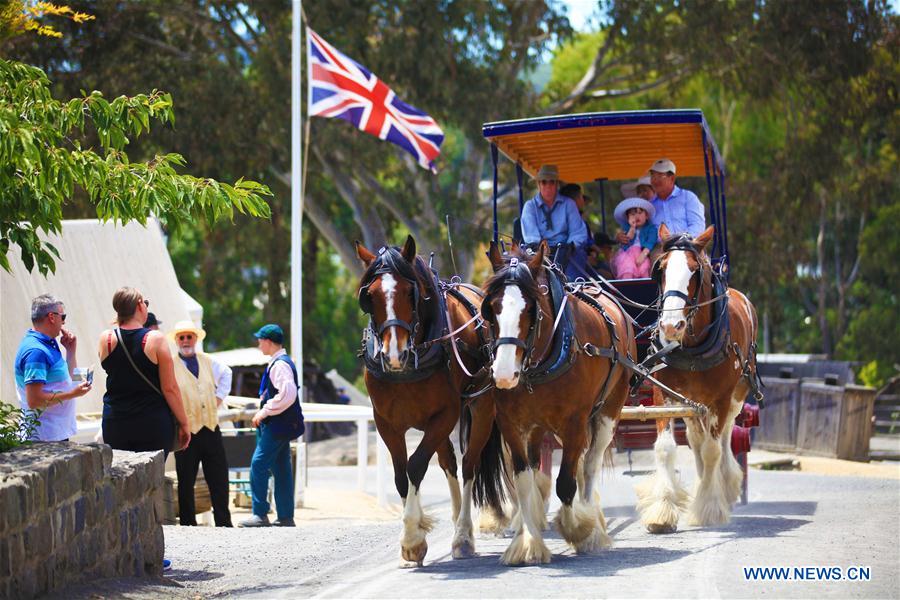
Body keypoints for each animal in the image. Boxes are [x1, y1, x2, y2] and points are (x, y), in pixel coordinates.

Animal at [354, 236, 502, 568]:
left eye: (410, 292)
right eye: (369, 295)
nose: (393, 355)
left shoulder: (446, 414)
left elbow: (416, 466)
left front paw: (412, 538)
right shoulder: (386, 423)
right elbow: (400, 475)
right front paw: (414, 539)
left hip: (481, 408)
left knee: (469, 465)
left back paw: (463, 536)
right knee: (449, 462)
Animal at [482, 241, 636, 564]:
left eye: (531, 309)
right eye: (491, 309)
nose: (504, 373)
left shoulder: (575, 423)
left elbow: (566, 482)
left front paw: (581, 531)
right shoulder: (511, 425)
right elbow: (524, 481)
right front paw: (528, 541)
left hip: (608, 412)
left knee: (589, 465)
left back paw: (592, 520)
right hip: (539, 428)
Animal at [636, 224, 764, 528]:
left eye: (695, 271)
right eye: (661, 268)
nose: (671, 326)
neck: (691, 346)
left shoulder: (721, 398)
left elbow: (713, 449)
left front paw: (709, 506)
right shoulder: (663, 394)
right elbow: (667, 448)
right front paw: (663, 510)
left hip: (736, 394)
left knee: (724, 434)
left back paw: (725, 484)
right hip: (691, 401)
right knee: (695, 438)